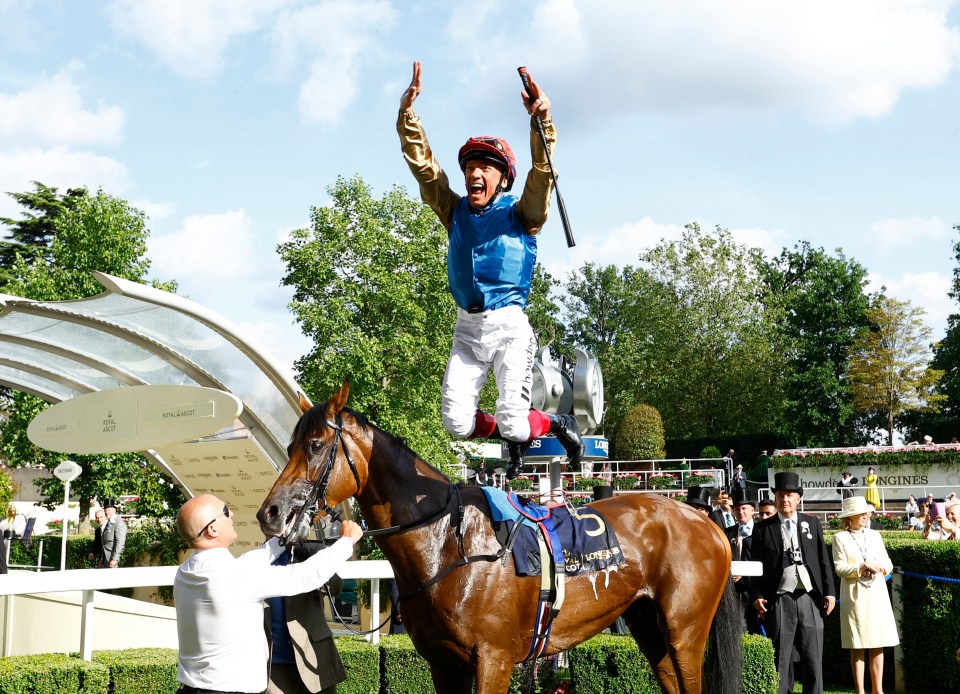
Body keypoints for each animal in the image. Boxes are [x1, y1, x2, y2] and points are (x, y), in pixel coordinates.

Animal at [256, 380, 744, 694]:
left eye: (316, 445)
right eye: (289, 446)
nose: (270, 513)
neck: (446, 544)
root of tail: (705, 520)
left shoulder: (493, 659)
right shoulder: (444, 664)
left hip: (685, 630)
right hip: (647, 623)